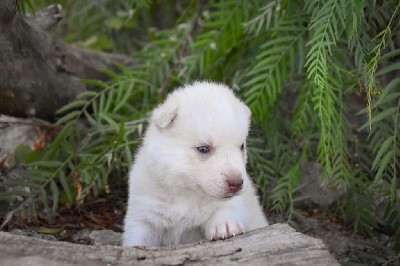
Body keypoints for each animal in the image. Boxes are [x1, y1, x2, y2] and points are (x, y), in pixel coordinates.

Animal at [124, 81, 268, 247]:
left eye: (242, 146)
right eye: (203, 149)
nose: (236, 183)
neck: (186, 193)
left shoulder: (235, 205)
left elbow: (226, 209)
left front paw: (225, 225)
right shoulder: (143, 215)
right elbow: (137, 239)